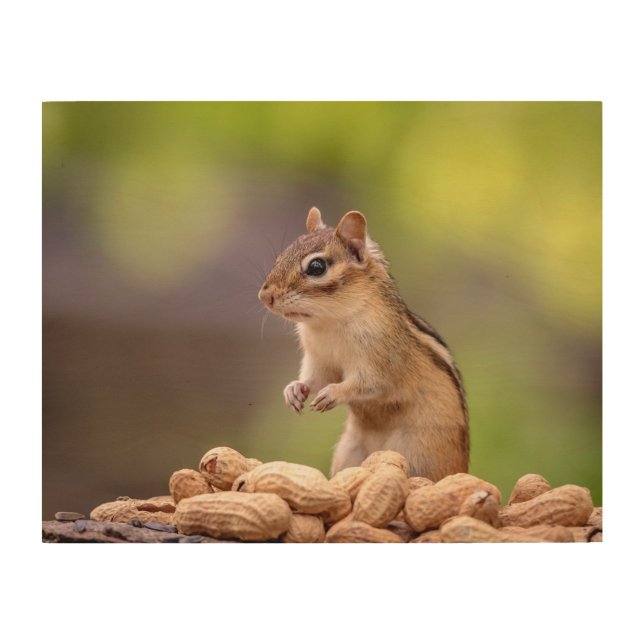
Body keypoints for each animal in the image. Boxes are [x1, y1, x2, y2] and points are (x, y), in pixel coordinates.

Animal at [258, 207, 469, 480]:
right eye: (280, 257)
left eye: (316, 267)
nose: (265, 296)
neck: (329, 323)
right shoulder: (319, 360)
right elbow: (316, 378)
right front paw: (294, 389)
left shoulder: (381, 359)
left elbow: (369, 383)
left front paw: (333, 393)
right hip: (348, 452)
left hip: (417, 453)